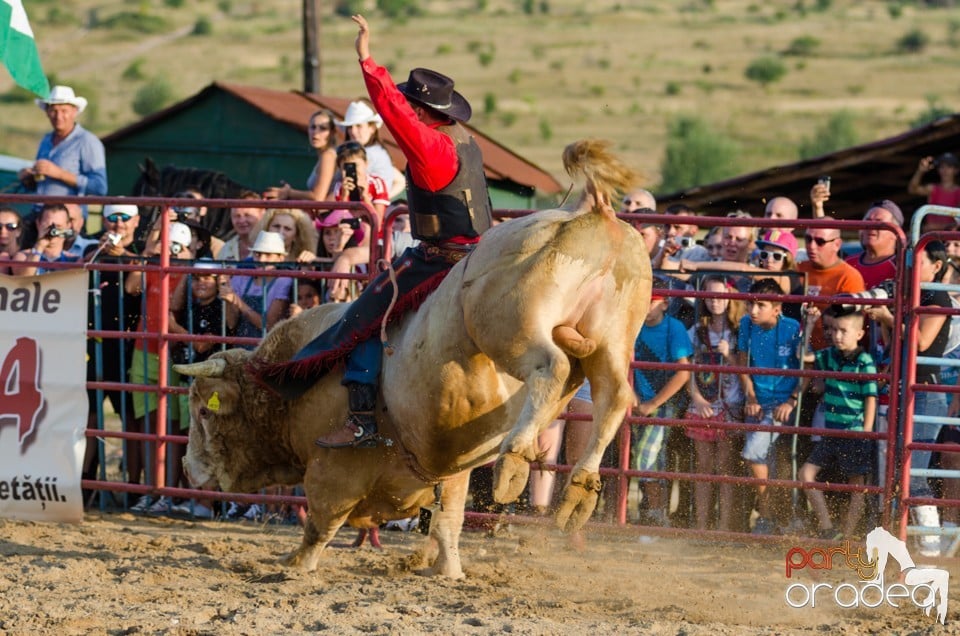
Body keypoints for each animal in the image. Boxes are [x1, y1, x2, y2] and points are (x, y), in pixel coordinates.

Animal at [174, 139, 652, 576]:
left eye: (203, 411)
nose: (187, 468)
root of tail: (591, 212)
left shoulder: (331, 469)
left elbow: (322, 523)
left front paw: (296, 564)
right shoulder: (451, 476)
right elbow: (447, 524)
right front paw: (449, 570)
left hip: (510, 327)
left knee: (551, 367)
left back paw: (515, 459)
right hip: (612, 340)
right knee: (613, 397)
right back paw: (580, 488)